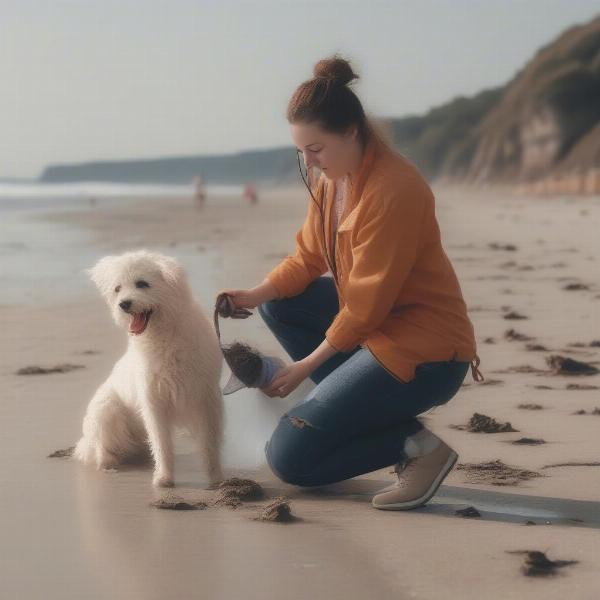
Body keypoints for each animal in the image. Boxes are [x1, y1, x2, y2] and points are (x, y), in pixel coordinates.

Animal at [74, 248, 224, 488]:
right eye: (118, 288)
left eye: (142, 284)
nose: (124, 304)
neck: (165, 335)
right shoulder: (154, 400)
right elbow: (162, 444)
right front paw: (164, 478)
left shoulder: (206, 398)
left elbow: (210, 442)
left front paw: (216, 478)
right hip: (106, 410)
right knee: (102, 447)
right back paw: (109, 464)